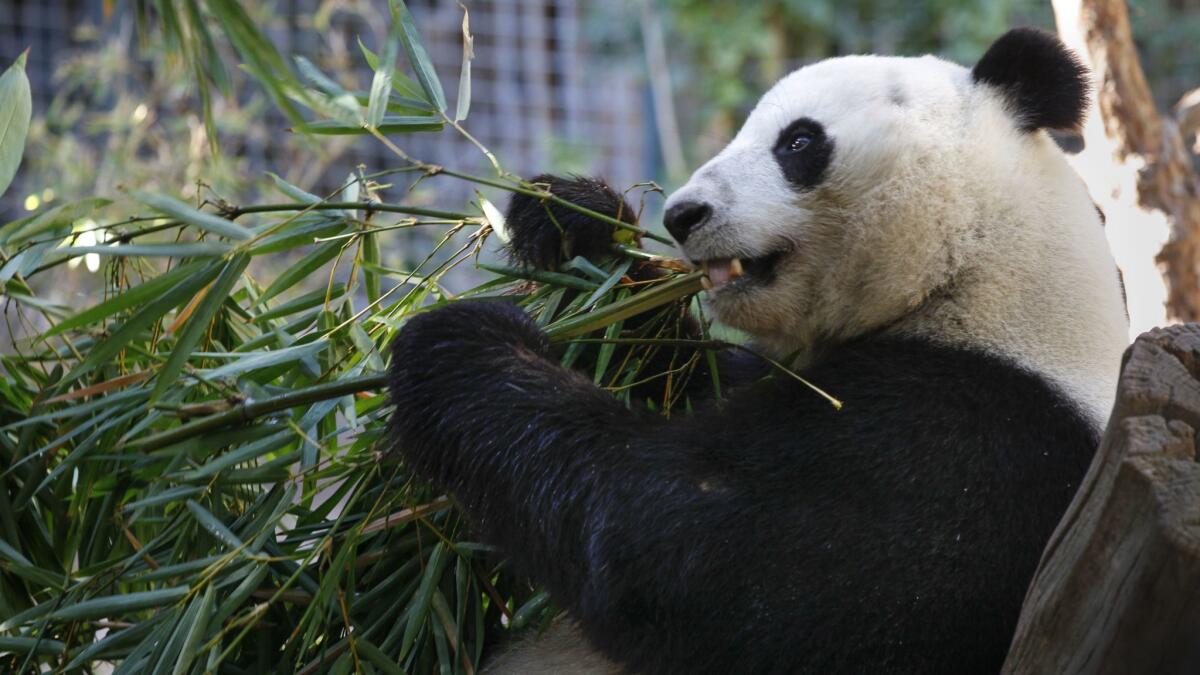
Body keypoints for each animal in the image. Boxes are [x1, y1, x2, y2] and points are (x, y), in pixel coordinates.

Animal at [388, 27, 1128, 672]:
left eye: (798, 141)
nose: (681, 216)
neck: (975, 267)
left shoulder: (971, 443)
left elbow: (696, 555)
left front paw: (456, 343)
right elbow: (679, 368)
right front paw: (572, 223)